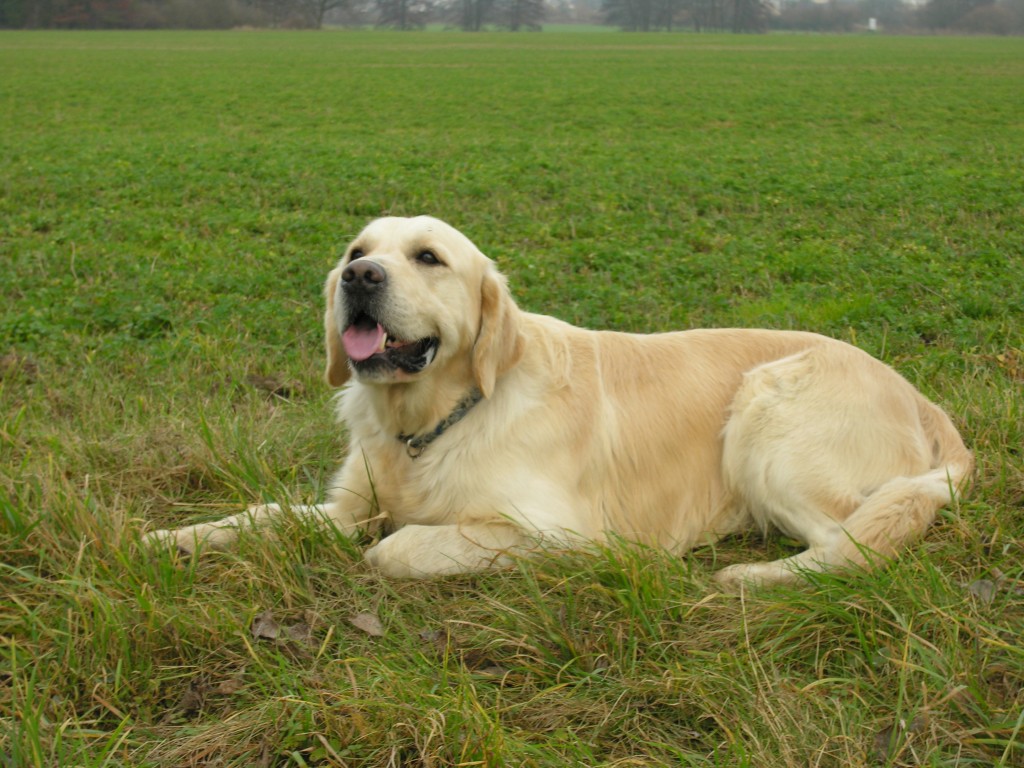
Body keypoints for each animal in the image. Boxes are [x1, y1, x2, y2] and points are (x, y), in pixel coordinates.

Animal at [142, 217, 966, 589]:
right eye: (357, 252)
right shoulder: (348, 503)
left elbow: (394, 547)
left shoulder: (567, 535)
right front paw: (171, 538)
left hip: (767, 417)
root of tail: (919, 397)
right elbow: (262, 516)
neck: (430, 424)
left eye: (428, 258)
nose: (361, 278)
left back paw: (749, 579)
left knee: (859, 542)